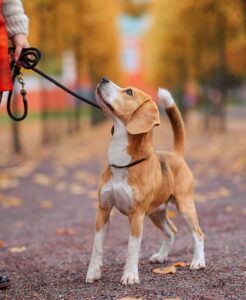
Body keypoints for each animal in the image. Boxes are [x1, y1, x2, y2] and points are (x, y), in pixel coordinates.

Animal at [85, 78, 205, 286]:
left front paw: (130, 275)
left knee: (198, 234)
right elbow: (97, 246)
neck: (122, 163)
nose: (103, 79)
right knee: (171, 231)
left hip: (184, 206)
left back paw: (198, 261)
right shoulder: (103, 211)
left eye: (129, 92)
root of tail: (175, 154)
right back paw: (161, 256)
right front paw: (93, 272)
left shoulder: (136, 215)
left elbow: (132, 248)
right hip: (156, 213)